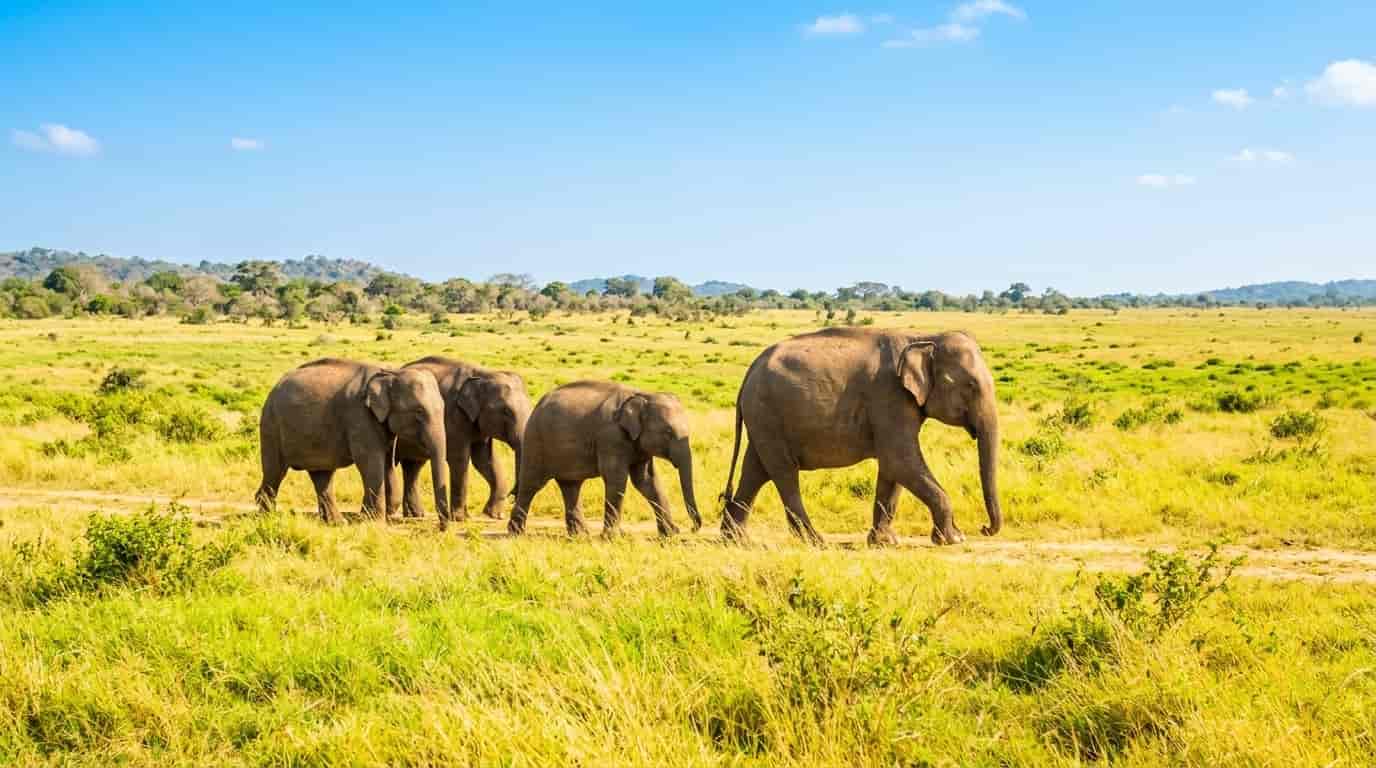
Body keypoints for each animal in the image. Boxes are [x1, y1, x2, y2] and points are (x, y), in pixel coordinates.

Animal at [256, 358, 450, 527]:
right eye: (418, 411)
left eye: (442, 408)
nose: (442, 527)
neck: (390, 373)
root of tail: (274, 388)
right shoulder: (359, 416)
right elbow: (370, 461)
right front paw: (374, 521)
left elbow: (387, 461)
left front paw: (377, 515)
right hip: (271, 425)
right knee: (275, 471)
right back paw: (267, 518)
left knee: (322, 475)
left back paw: (336, 522)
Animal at [393, 356, 532, 523]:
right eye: (506, 411)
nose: (513, 495)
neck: (484, 374)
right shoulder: (454, 415)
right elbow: (459, 459)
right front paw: (460, 518)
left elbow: (485, 460)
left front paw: (493, 515)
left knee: (413, 467)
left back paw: (415, 515)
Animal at [507, 381, 703, 538]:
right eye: (668, 432)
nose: (692, 529)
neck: (642, 395)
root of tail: (538, 404)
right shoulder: (611, 437)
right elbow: (617, 480)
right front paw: (611, 538)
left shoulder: (638, 445)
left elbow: (647, 481)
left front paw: (669, 535)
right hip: (535, 440)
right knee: (531, 484)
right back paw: (516, 533)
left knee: (571, 486)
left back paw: (579, 534)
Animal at [719, 327, 1001, 547]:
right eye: (971, 385)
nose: (984, 528)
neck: (924, 337)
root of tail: (749, 372)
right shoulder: (890, 398)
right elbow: (900, 461)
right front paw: (954, 539)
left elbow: (892, 469)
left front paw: (885, 543)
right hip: (768, 414)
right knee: (784, 473)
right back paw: (814, 541)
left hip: (763, 419)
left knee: (755, 470)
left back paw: (735, 540)